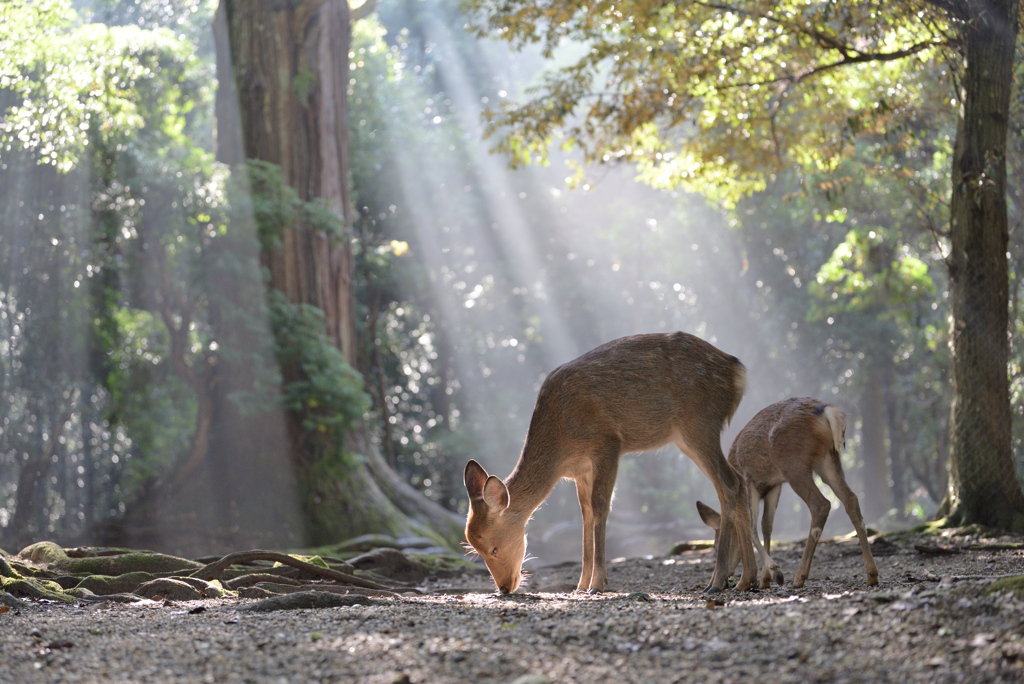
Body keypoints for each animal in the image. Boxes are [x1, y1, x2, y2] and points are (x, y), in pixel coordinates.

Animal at [464, 331, 761, 593]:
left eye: (493, 548)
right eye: (475, 550)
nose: (504, 588)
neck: (561, 448)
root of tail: (738, 371)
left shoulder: (606, 443)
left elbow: (600, 507)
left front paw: (597, 584)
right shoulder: (580, 469)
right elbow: (585, 514)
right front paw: (580, 585)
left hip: (699, 423)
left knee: (728, 484)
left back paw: (717, 581)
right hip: (686, 437)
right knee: (738, 481)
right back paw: (749, 579)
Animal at [696, 397, 880, 589]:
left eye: (716, 546)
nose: (726, 579)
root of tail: (826, 411)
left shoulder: (747, 481)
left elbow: (751, 526)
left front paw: (773, 573)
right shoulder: (774, 485)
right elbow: (767, 525)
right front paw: (765, 579)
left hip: (793, 464)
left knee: (821, 504)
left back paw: (799, 576)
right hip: (828, 460)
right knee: (851, 499)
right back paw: (872, 574)